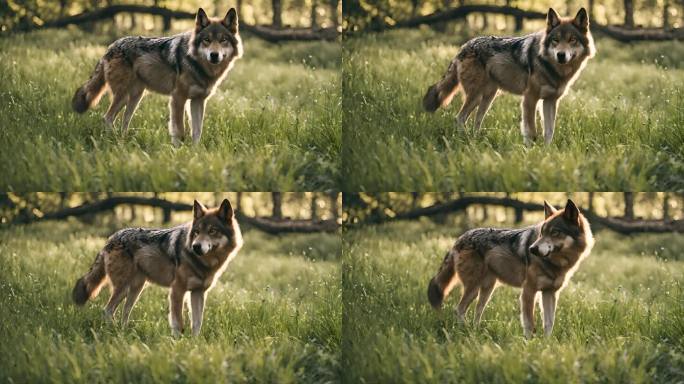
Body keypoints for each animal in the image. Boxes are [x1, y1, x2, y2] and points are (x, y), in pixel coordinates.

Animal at [71, 7, 243, 146]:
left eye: (223, 40)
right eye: (207, 40)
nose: (214, 55)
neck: (199, 66)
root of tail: (111, 47)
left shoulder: (198, 101)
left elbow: (197, 131)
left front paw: (196, 153)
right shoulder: (178, 98)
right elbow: (179, 130)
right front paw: (179, 152)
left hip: (135, 98)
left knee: (124, 120)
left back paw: (123, 141)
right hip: (124, 96)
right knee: (107, 118)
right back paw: (113, 141)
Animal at [71, 198, 243, 336]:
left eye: (212, 231)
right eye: (197, 232)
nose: (196, 247)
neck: (204, 264)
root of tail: (111, 238)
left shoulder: (198, 293)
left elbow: (197, 323)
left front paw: (195, 344)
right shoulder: (177, 291)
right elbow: (178, 323)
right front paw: (179, 344)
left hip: (135, 290)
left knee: (124, 312)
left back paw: (124, 333)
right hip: (124, 288)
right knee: (107, 310)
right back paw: (114, 332)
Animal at [424, 8, 596, 146]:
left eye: (572, 40)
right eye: (555, 40)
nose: (561, 55)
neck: (554, 69)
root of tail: (464, 46)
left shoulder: (550, 101)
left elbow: (549, 131)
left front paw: (547, 152)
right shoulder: (529, 99)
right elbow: (531, 131)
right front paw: (531, 152)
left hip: (488, 98)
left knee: (476, 121)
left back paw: (476, 141)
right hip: (477, 96)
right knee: (459, 118)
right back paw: (465, 141)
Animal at [428, 200, 592, 338]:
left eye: (555, 232)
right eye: (541, 233)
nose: (532, 249)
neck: (556, 263)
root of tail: (459, 239)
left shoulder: (550, 293)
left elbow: (549, 323)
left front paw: (547, 344)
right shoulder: (528, 291)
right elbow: (530, 324)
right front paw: (530, 345)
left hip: (487, 290)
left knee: (477, 311)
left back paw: (476, 332)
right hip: (474, 289)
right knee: (459, 310)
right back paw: (466, 331)